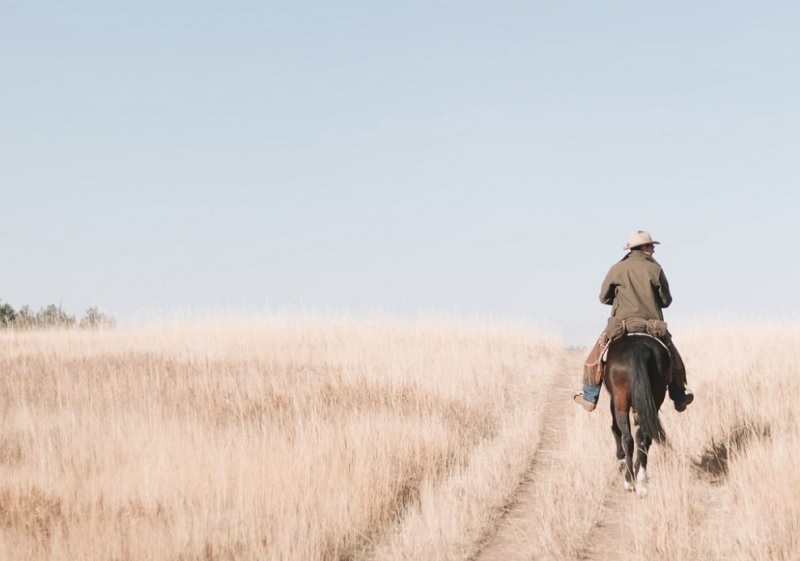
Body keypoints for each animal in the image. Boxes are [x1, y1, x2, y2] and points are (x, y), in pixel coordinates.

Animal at [608, 332, 668, 494]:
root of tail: (639, 346)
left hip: (621, 401)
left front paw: (620, 457)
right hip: (655, 399)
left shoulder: (614, 399)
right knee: (644, 437)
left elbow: (615, 428)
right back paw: (641, 479)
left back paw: (629, 480)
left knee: (628, 438)